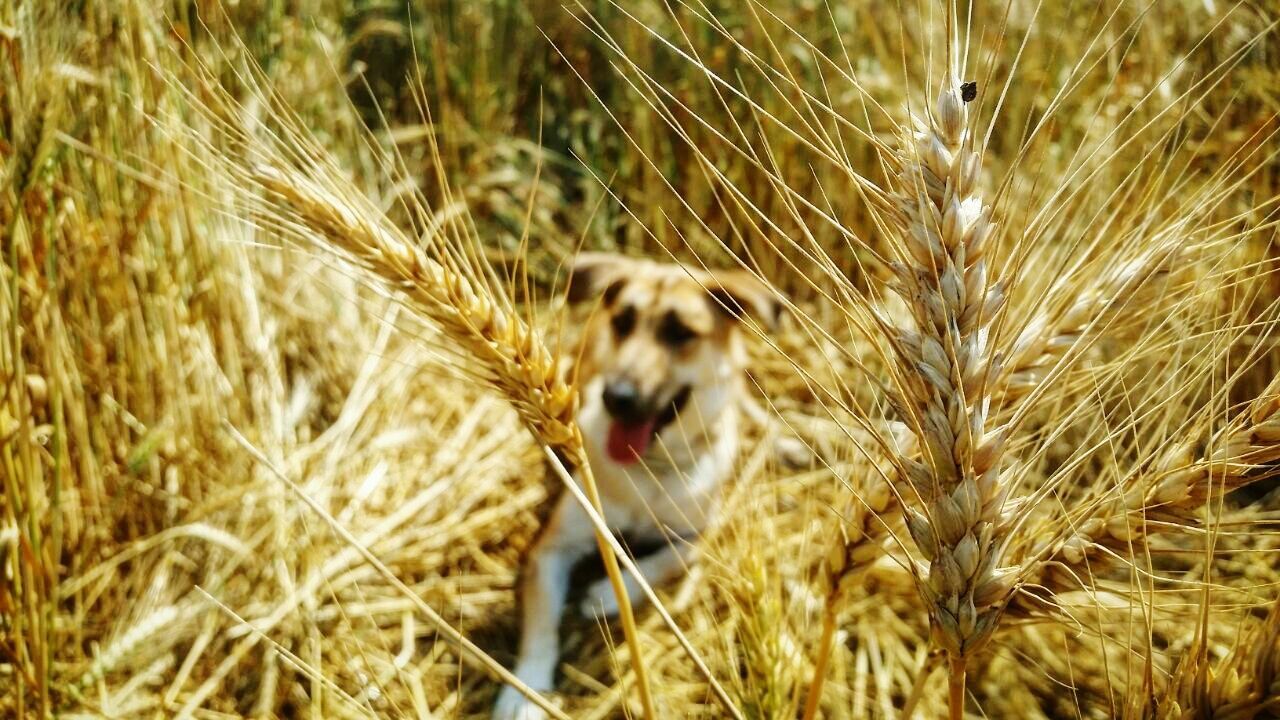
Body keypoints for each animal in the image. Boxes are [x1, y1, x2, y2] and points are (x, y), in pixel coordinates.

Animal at [488, 253, 783, 717]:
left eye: (680, 333)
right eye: (624, 321)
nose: (617, 397)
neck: (652, 467)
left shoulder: (702, 534)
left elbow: (664, 562)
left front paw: (609, 594)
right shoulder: (551, 549)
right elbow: (541, 627)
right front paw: (527, 690)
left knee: (753, 409)